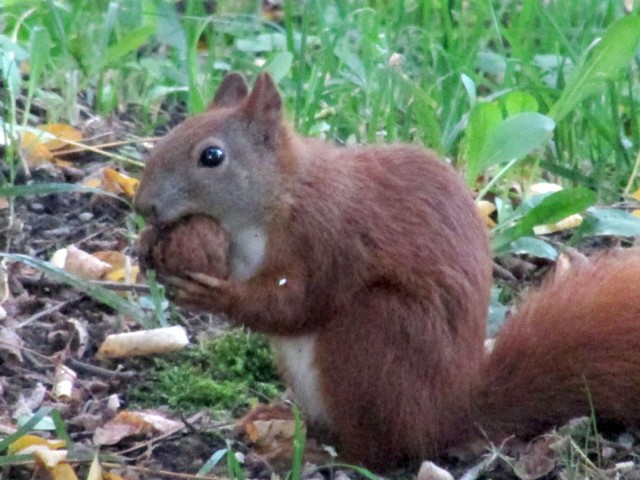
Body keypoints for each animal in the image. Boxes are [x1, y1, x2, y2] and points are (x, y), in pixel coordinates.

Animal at [134, 72, 640, 468]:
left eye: (211, 157)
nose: (143, 206)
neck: (275, 199)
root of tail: (447, 414)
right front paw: (145, 247)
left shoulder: (326, 238)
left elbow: (296, 303)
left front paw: (214, 295)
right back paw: (280, 421)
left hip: (374, 336)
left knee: (376, 452)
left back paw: (318, 452)